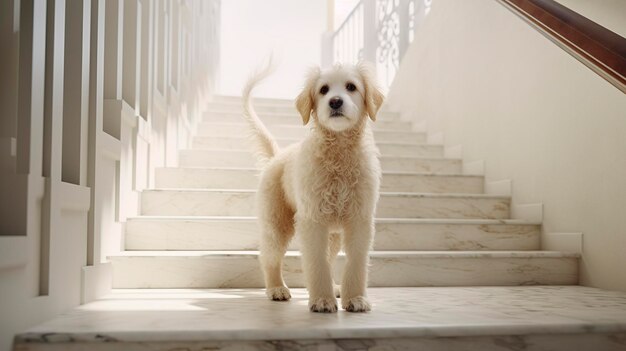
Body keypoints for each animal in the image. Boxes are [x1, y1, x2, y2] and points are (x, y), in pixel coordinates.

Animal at [241, 62, 382, 314]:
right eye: (323, 89)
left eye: (351, 86)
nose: (335, 102)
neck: (339, 153)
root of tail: (276, 157)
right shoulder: (313, 219)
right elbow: (316, 262)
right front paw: (322, 300)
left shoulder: (360, 219)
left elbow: (356, 261)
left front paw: (355, 298)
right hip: (277, 222)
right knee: (269, 256)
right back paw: (276, 288)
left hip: (333, 234)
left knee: (329, 256)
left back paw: (335, 287)